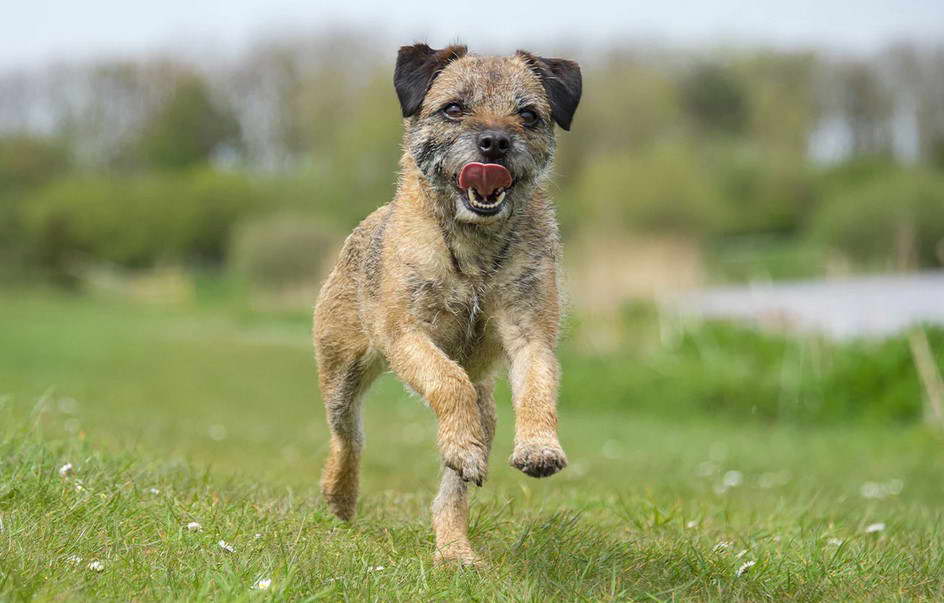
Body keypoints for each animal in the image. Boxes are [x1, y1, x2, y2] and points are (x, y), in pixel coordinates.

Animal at [316, 43, 584, 568]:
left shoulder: (530, 333)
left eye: (528, 114)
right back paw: (341, 496)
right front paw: (463, 444)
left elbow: (538, 384)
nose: (495, 143)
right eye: (454, 108)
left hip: (487, 410)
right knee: (348, 435)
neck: (474, 245)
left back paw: (454, 548)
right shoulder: (407, 335)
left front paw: (539, 447)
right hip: (340, 372)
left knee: (452, 491)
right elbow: (447, 381)